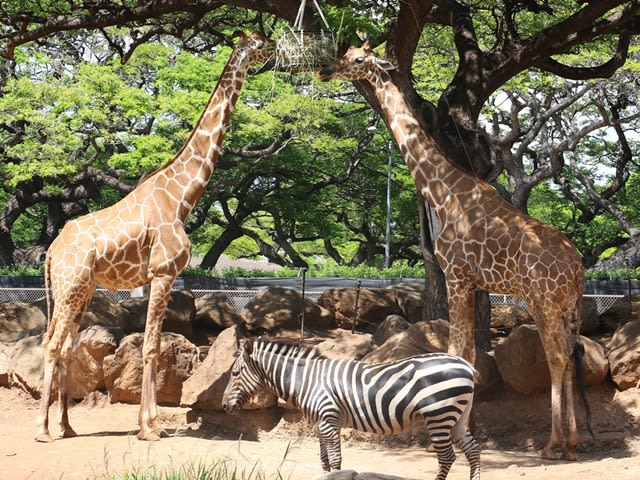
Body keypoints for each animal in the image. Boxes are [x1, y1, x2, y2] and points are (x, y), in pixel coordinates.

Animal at [35, 31, 276, 442]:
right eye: (258, 43)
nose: (276, 45)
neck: (181, 197)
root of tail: (51, 251)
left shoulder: (159, 277)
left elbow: (154, 345)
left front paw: (150, 423)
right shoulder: (163, 272)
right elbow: (149, 347)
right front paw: (149, 427)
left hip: (82, 289)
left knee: (65, 345)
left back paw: (67, 426)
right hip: (69, 286)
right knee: (51, 345)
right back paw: (43, 428)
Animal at [224, 338, 480, 480]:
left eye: (235, 373)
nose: (225, 406)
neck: (306, 380)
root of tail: (465, 363)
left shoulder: (329, 418)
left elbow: (335, 459)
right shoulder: (322, 423)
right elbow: (324, 460)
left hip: (439, 414)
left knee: (447, 457)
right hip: (457, 416)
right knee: (473, 450)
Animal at [318, 45, 588, 462]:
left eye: (359, 60)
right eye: (347, 52)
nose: (325, 69)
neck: (444, 194)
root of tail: (576, 267)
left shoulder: (457, 275)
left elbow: (459, 351)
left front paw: (454, 436)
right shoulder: (475, 283)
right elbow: (470, 355)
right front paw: (467, 427)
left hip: (541, 299)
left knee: (557, 357)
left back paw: (552, 444)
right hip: (568, 307)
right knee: (572, 358)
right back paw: (574, 443)